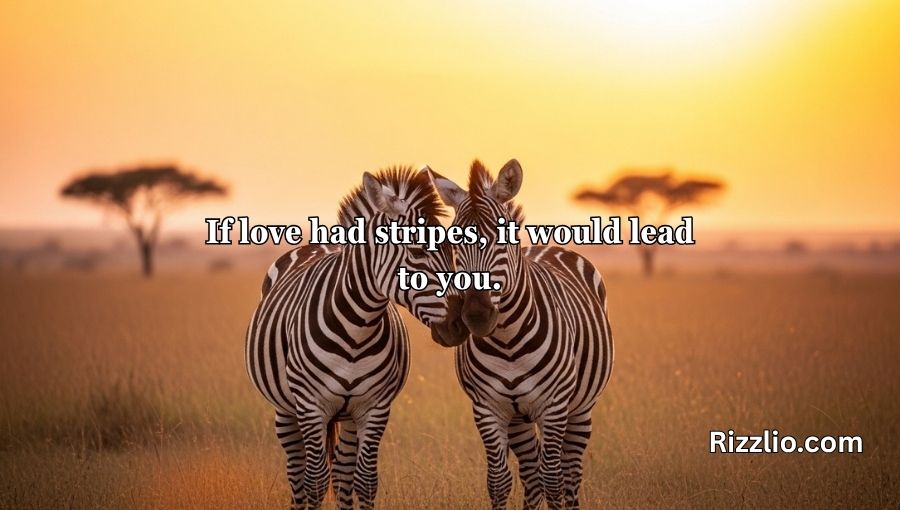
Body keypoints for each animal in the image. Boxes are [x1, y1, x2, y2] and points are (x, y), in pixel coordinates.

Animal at [246, 167, 468, 510]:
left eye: (452, 252)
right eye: (418, 251)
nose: (460, 325)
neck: (356, 330)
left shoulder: (374, 406)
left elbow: (364, 481)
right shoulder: (311, 405)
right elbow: (315, 482)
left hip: (347, 415)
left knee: (341, 473)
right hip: (284, 408)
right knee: (297, 475)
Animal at [427, 159, 614, 510]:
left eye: (502, 240)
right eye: (454, 244)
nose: (476, 316)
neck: (508, 344)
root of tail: (545, 245)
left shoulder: (553, 406)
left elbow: (554, 480)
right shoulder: (487, 407)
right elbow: (499, 481)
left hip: (580, 408)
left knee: (569, 474)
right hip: (519, 419)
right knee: (532, 474)